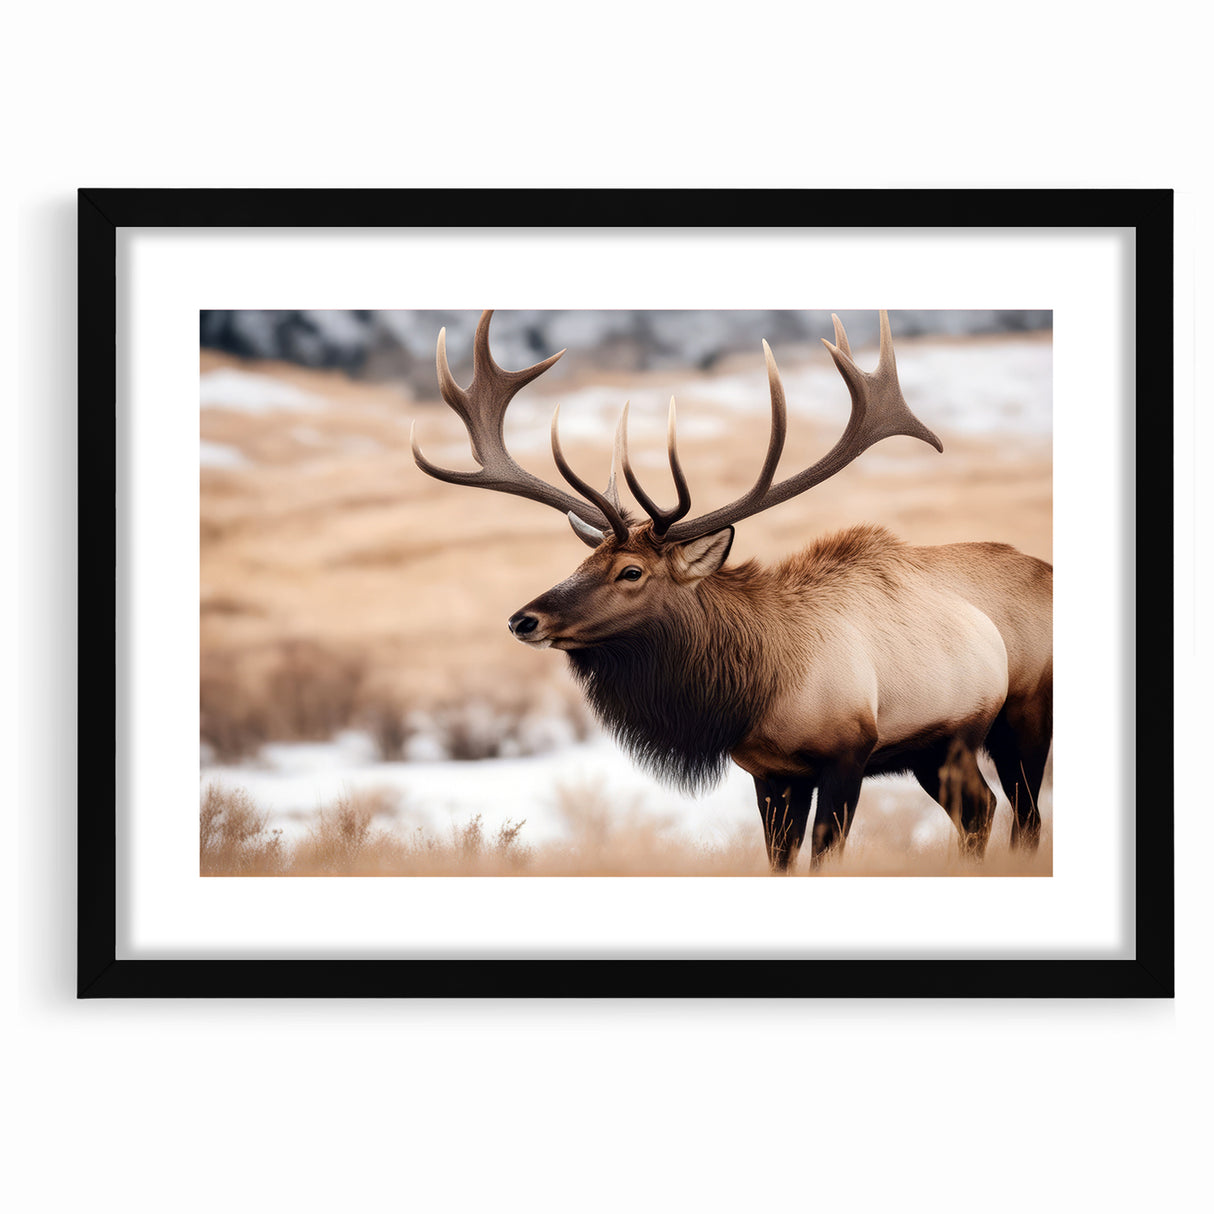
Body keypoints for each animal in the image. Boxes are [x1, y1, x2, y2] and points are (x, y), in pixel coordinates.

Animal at [412, 311, 1052, 871]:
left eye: (631, 572)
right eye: (585, 558)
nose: (524, 619)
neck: (758, 692)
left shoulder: (849, 751)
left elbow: (825, 856)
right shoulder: (771, 772)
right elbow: (779, 862)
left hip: (1018, 716)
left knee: (1023, 815)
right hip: (937, 749)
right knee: (982, 814)